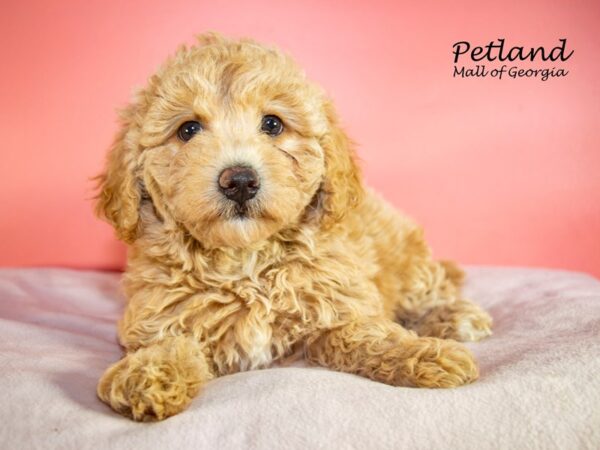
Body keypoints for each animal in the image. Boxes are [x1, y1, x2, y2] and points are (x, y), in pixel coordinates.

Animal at [95, 32, 492, 422]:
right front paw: (146, 374)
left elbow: (368, 334)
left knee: (431, 288)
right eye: (188, 129)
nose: (239, 180)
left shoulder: (340, 299)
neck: (245, 263)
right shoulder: (160, 311)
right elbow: (169, 341)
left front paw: (424, 355)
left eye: (273, 124)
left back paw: (457, 317)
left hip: (405, 259)